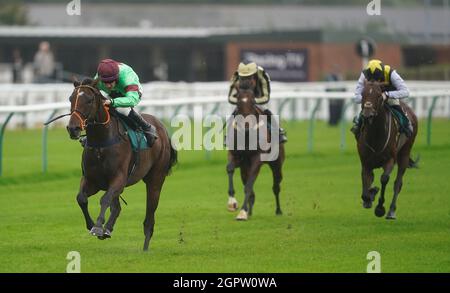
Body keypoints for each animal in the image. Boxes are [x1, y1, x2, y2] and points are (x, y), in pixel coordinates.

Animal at [66, 77, 177, 249]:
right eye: (71, 98)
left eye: (89, 100)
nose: (73, 128)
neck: (101, 144)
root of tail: (162, 128)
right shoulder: (92, 180)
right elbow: (81, 198)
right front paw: (92, 225)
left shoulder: (118, 178)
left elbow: (104, 199)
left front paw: (98, 227)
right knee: (117, 207)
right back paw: (108, 229)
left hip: (155, 179)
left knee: (149, 218)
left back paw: (145, 247)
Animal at [225, 81, 284, 220]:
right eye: (238, 103)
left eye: (252, 102)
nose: (246, 126)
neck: (247, 136)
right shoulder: (234, 155)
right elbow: (230, 169)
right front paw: (232, 203)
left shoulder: (257, 159)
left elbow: (249, 185)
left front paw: (242, 212)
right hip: (244, 167)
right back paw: (249, 211)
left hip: (276, 163)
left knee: (276, 186)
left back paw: (278, 210)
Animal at [358, 81, 418, 218]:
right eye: (363, 94)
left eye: (379, 96)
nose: (367, 113)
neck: (375, 135)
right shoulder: (365, 161)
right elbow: (365, 181)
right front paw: (370, 195)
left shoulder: (390, 159)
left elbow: (384, 179)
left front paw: (380, 207)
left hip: (405, 153)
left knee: (398, 183)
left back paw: (391, 211)